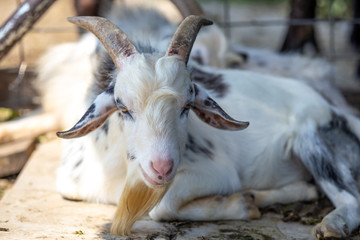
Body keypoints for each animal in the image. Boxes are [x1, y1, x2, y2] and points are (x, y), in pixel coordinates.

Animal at [32, 4, 360, 238]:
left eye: (187, 105)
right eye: (123, 107)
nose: (162, 168)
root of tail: (340, 113)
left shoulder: (217, 173)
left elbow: (163, 207)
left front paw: (241, 203)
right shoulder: (71, 182)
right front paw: (248, 201)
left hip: (314, 137)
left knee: (351, 200)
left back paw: (329, 225)